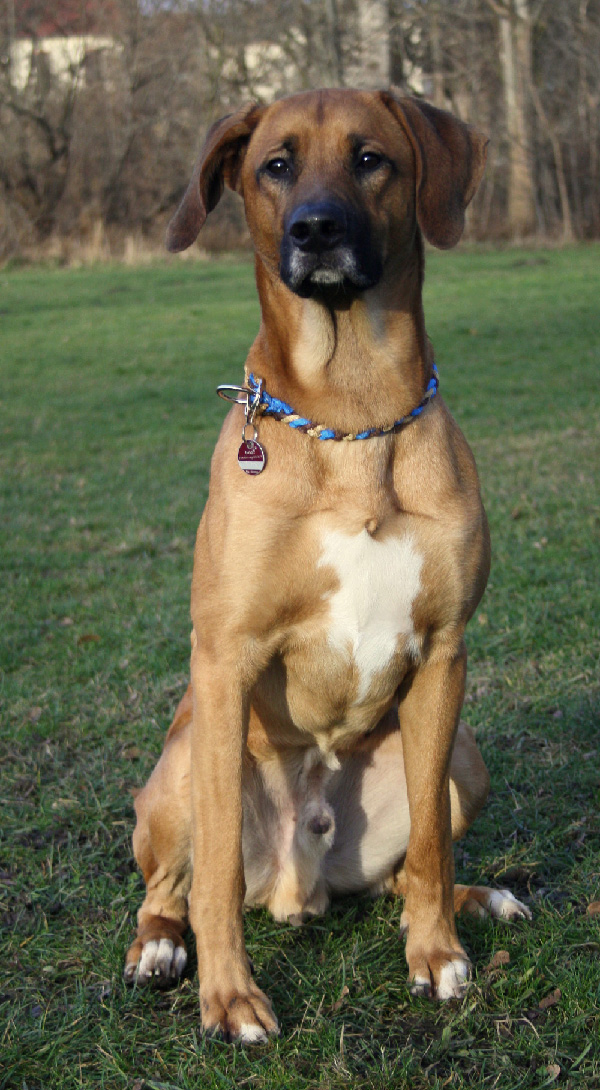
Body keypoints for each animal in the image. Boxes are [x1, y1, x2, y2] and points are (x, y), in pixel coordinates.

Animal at [122, 89, 532, 1042]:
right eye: (276, 165)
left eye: (371, 157)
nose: (315, 229)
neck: (353, 412)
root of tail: (299, 886)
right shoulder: (226, 659)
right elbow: (217, 878)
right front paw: (229, 998)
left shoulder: (445, 653)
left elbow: (429, 844)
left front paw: (437, 954)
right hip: (186, 755)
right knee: (173, 886)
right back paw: (160, 947)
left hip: (463, 756)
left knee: (408, 867)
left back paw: (475, 900)